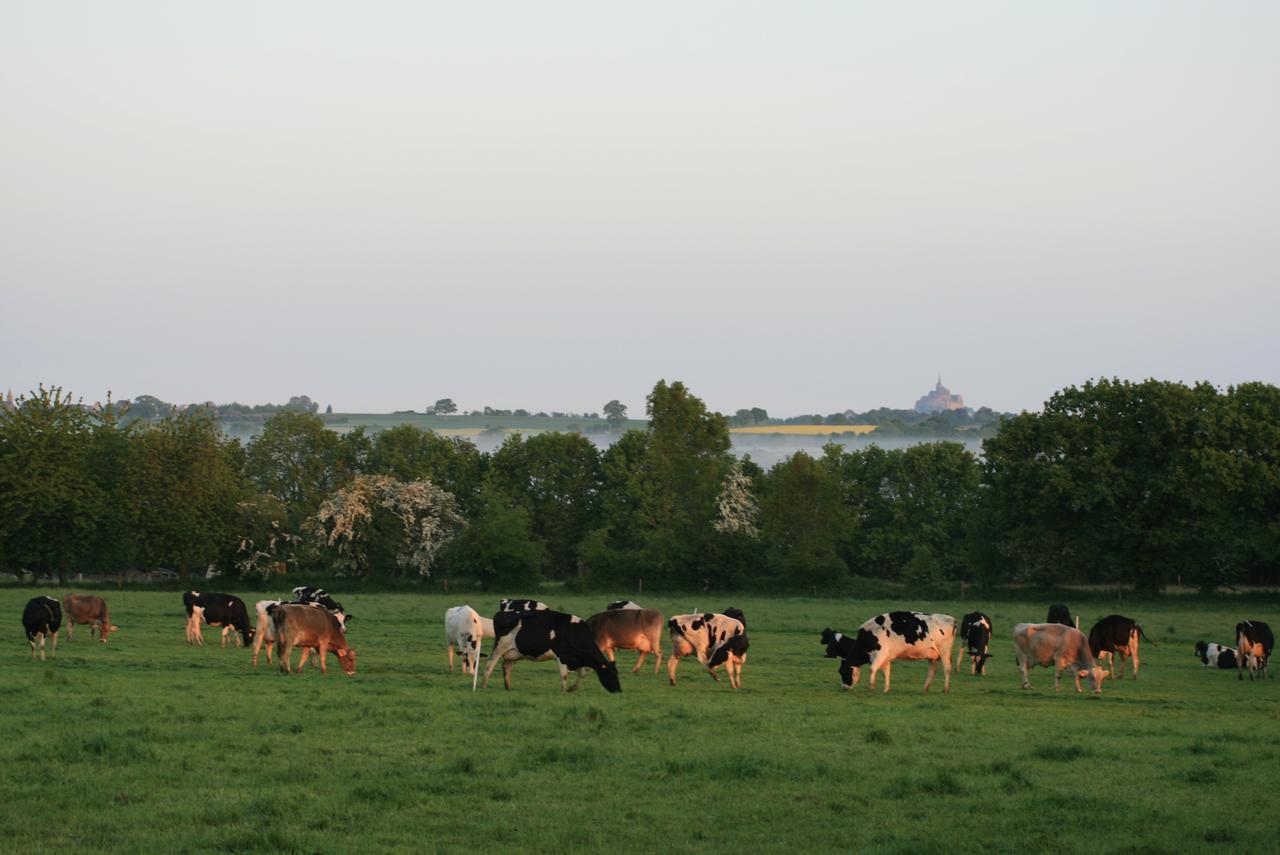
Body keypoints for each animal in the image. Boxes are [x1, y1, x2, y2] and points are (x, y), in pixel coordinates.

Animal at [481, 606, 619, 696]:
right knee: (489, 665)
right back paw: (484, 686)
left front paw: (572, 688)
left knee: (506, 667)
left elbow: (583, 673)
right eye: (611, 674)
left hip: (513, 653)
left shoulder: (576, 658)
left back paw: (508, 688)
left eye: (617, 673)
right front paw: (563, 692)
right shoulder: (562, 655)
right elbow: (564, 675)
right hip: (500, 647)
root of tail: (502, 613)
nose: (619, 690)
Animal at [819, 611, 952, 691]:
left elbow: (872, 669)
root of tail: (950, 618)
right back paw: (925, 689)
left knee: (947, 668)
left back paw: (945, 689)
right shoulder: (886, 657)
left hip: (944, 652)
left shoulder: (880, 654)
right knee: (932, 671)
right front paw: (886, 689)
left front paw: (871, 687)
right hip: (932, 656)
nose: (844, 687)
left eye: (841, 671)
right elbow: (886, 672)